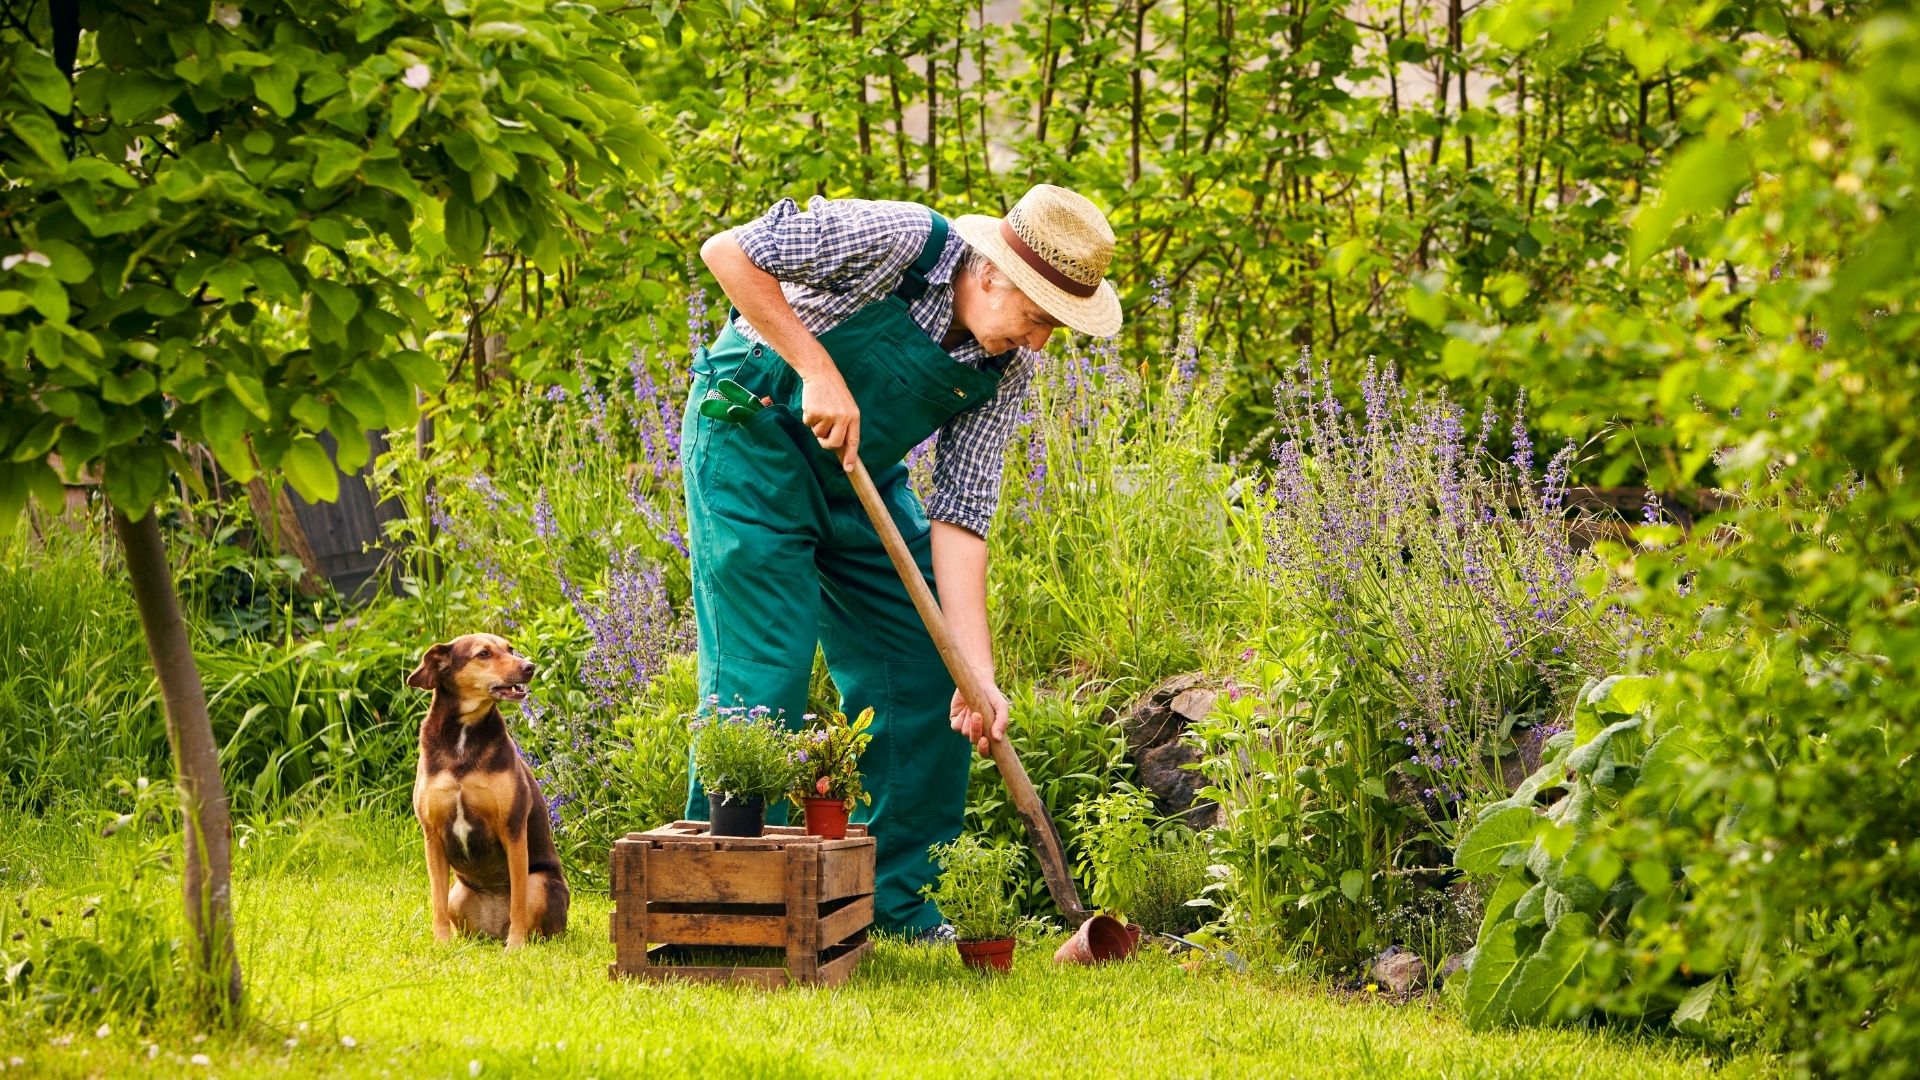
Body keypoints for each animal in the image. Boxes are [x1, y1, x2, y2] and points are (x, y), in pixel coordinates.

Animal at [408, 630, 564, 941]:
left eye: (510, 648)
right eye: (483, 654)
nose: (529, 666)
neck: (464, 733)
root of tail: (494, 930)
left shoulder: (512, 828)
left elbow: (518, 903)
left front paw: (516, 946)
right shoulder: (432, 836)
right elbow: (436, 902)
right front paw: (441, 943)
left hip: (539, 883)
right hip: (457, 894)